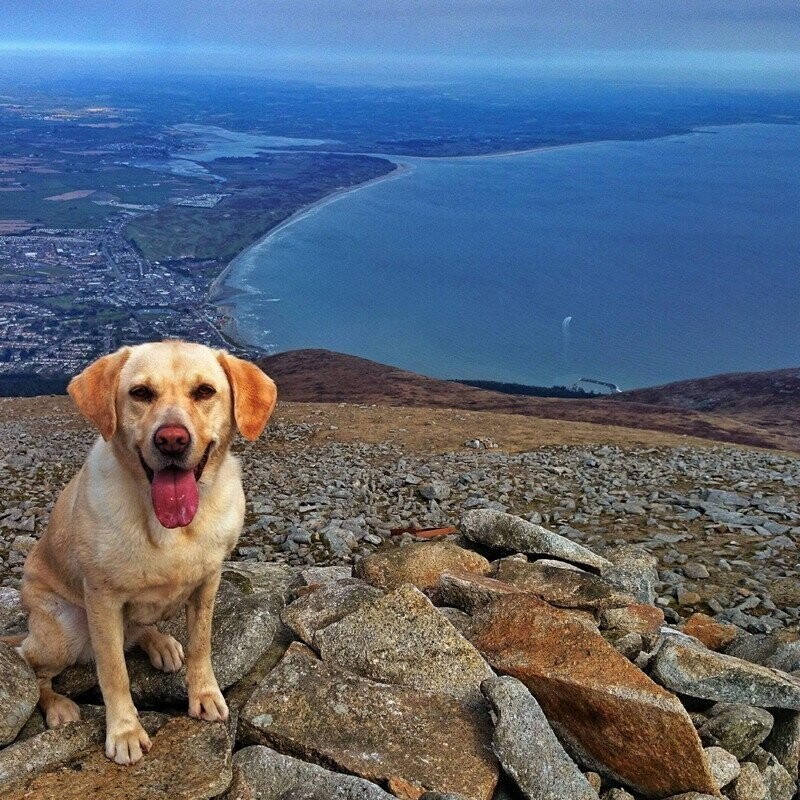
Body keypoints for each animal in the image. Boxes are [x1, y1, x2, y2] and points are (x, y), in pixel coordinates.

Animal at [10, 338, 276, 764]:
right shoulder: (102, 600)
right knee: (31, 666)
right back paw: (57, 705)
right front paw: (125, 732)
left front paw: (204, 695)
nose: (172, 440)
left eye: (204, 391)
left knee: (138, 630)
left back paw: (160, 643)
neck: (169, 526)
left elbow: (201, 646)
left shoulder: (208, 583)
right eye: (140, 393)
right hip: (62, 631)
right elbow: (113, 672)